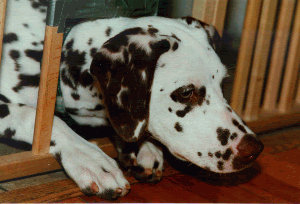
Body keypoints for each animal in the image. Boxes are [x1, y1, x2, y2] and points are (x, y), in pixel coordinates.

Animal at [0, 0, 262, 199]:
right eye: (186, 92)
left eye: (222, 83)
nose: (254, 149)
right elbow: (35, 116)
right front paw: (89, 158)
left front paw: (143, 147)